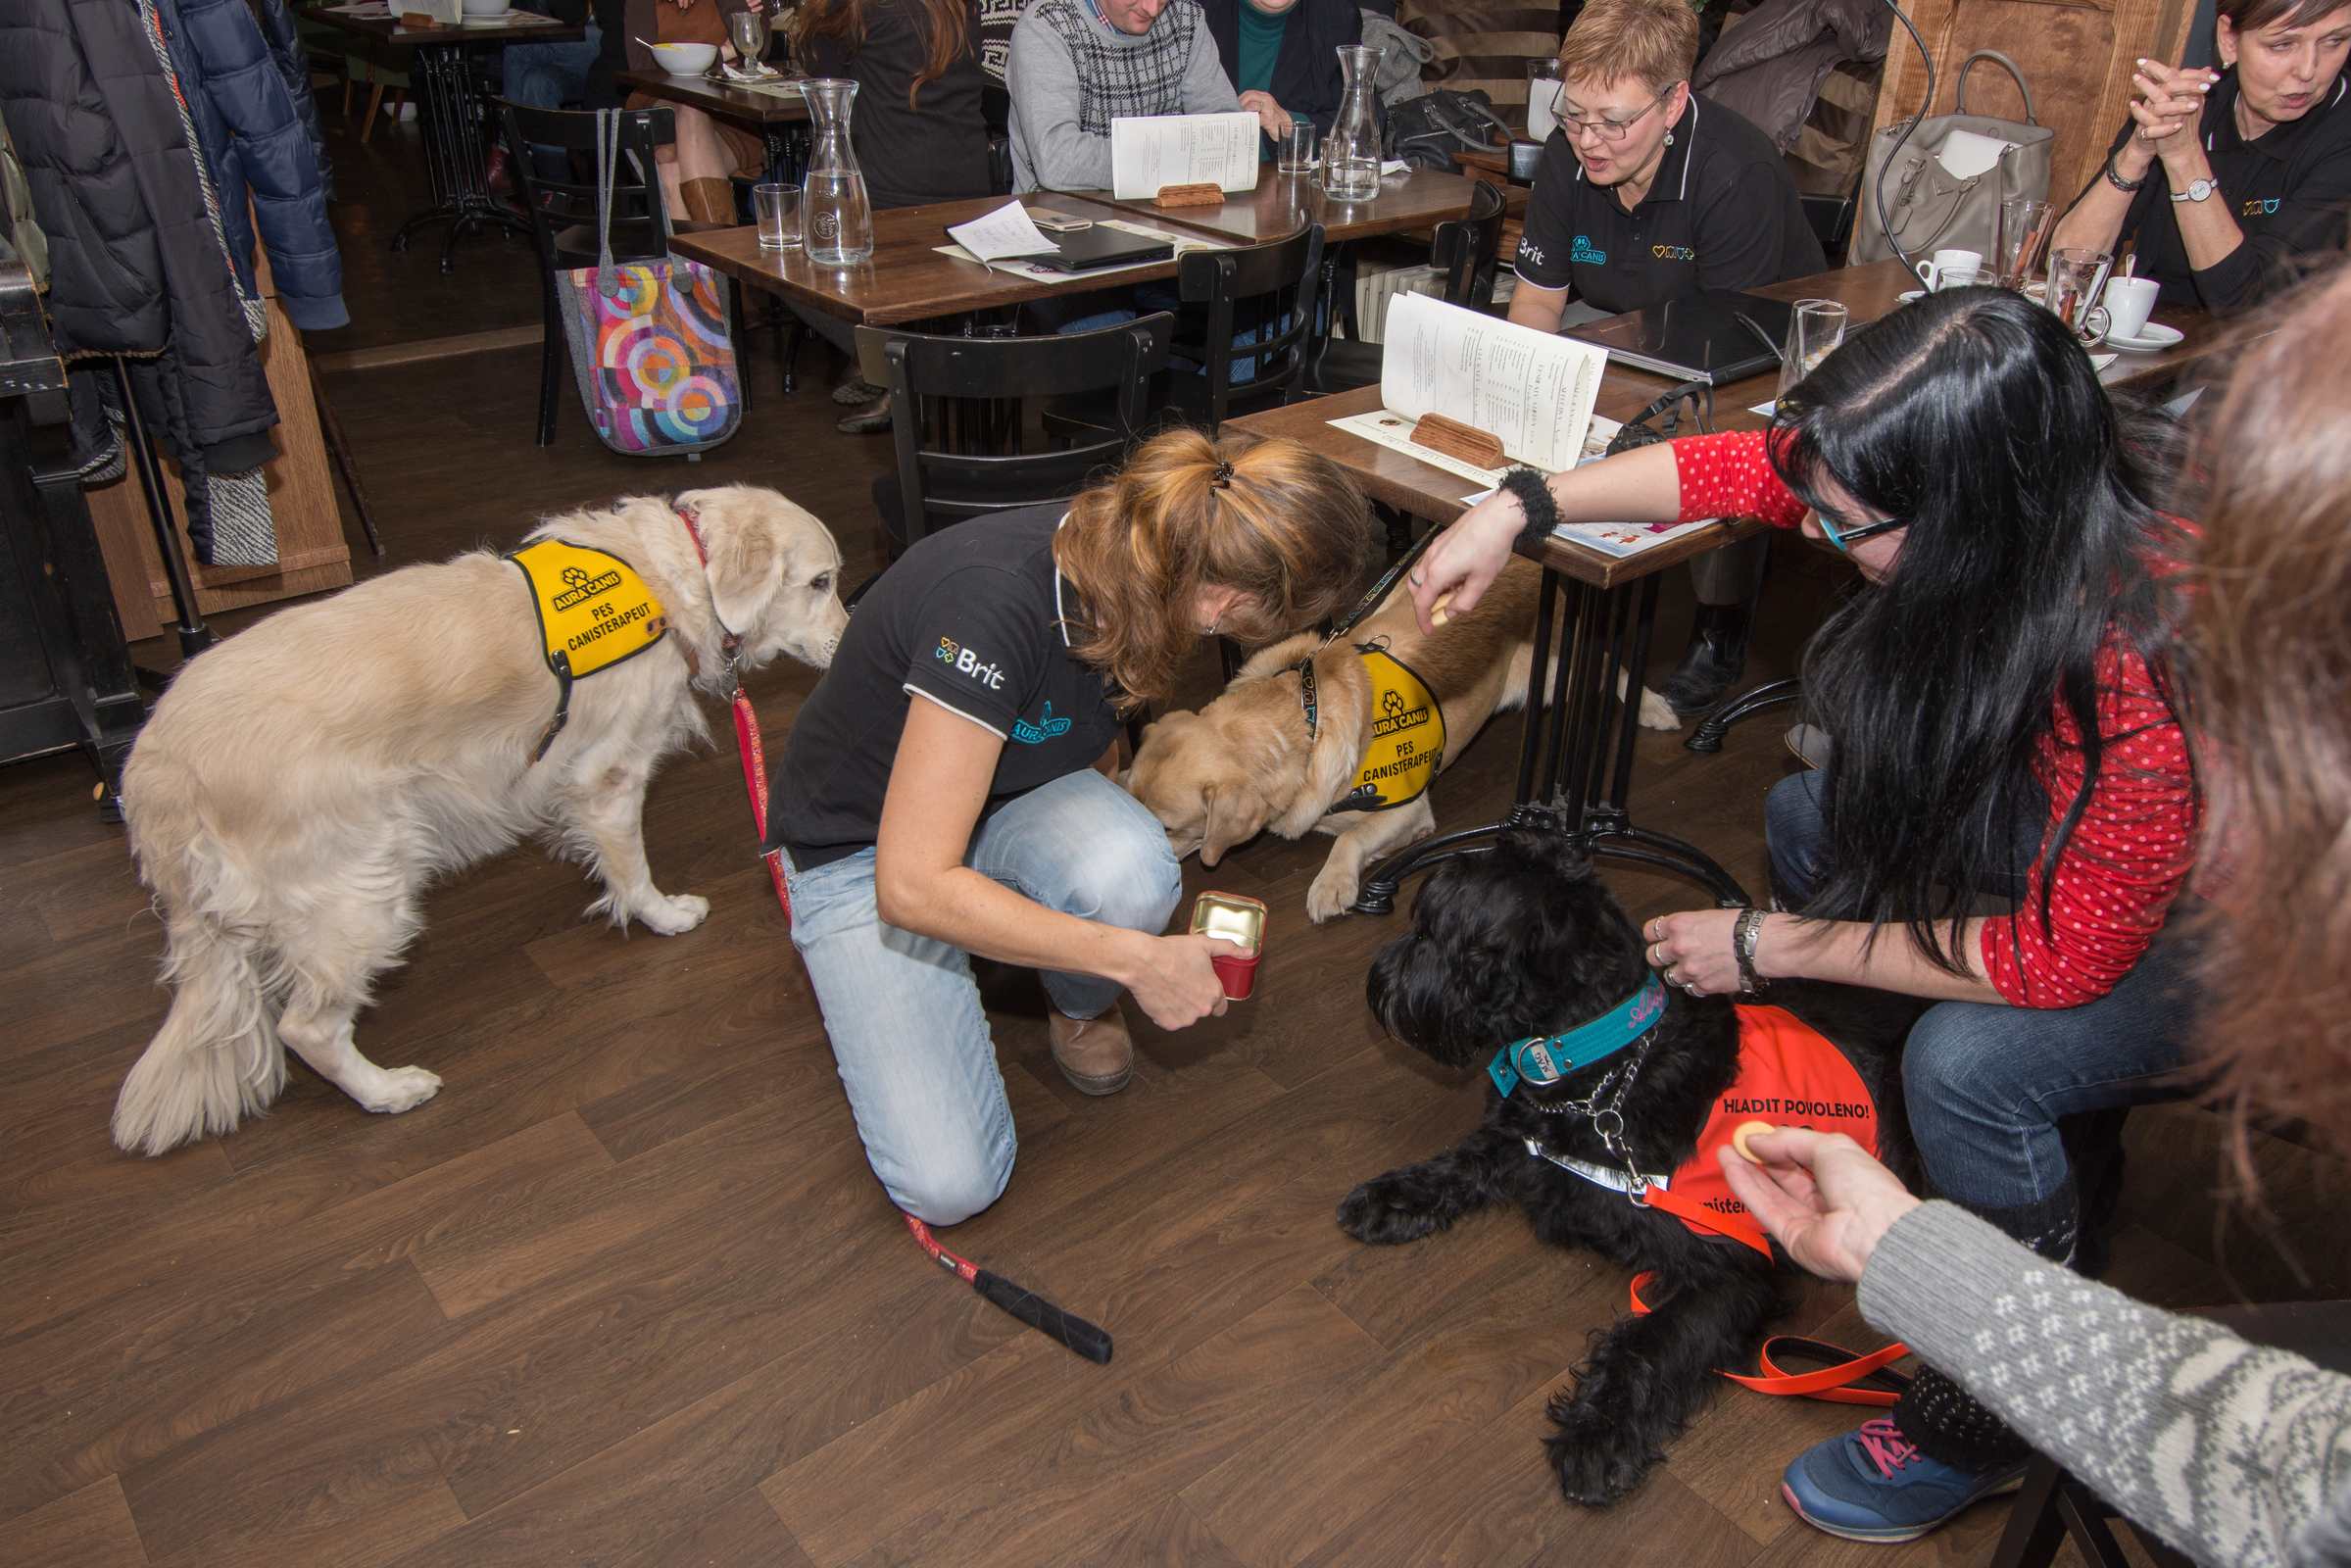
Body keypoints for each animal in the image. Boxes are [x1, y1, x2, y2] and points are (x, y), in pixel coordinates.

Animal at [113, 486, 847, 1156]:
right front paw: (663, 915)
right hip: (364, 889)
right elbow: (632, 870)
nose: (849, 642)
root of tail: (158, 765)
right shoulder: (610, 775)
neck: (673, 576)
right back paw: (388, 1091)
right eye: (821, 581)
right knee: (308, 1029)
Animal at [1128, 557, 1678, 922]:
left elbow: (1349, 838)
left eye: (1170, 826)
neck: (1306, 718)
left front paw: (1331, 885)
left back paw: (1655, 707)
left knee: (1617, 669)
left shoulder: (1409, 809)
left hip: (1564, 663)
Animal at [1347, 831, 1920, 1505]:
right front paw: (1393, 1196)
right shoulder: (1525, 1142)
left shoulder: (1730, 1268)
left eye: (1432, 928)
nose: (1379, 981)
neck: (1603, 1071)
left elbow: (1648, 1342)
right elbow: (1461, 1161)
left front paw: (1599, 1434)